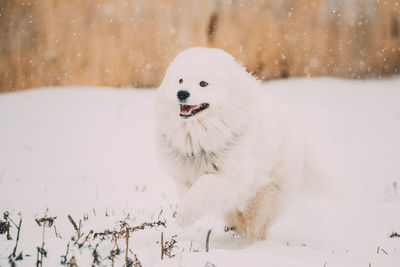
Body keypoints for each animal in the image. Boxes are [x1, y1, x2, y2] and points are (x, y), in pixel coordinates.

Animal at [155, 47, 318, 244]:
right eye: (180, 80)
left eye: (203, 83)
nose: (182, 93)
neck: (202, 139)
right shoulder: (182, 175)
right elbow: (190, 190)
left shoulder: (233, 178)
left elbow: (203, 186)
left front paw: (184, 216)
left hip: (266, 196)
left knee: (256, 227)